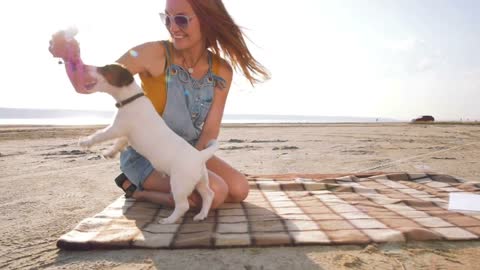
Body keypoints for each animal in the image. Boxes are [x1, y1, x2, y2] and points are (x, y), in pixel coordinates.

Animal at [78, 62, 217, 224]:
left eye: (105, 69)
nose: (86, 68)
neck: (132, 99)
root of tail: (199, 156)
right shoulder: (125, 134)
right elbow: (119, 143)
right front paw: (109, 152)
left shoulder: (116, 128)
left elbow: (100, 135)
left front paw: (85, 142)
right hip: (201, 180)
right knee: (208, 194)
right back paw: (201, 215)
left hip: (179, 183)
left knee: (183, 205)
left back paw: (168, 220)